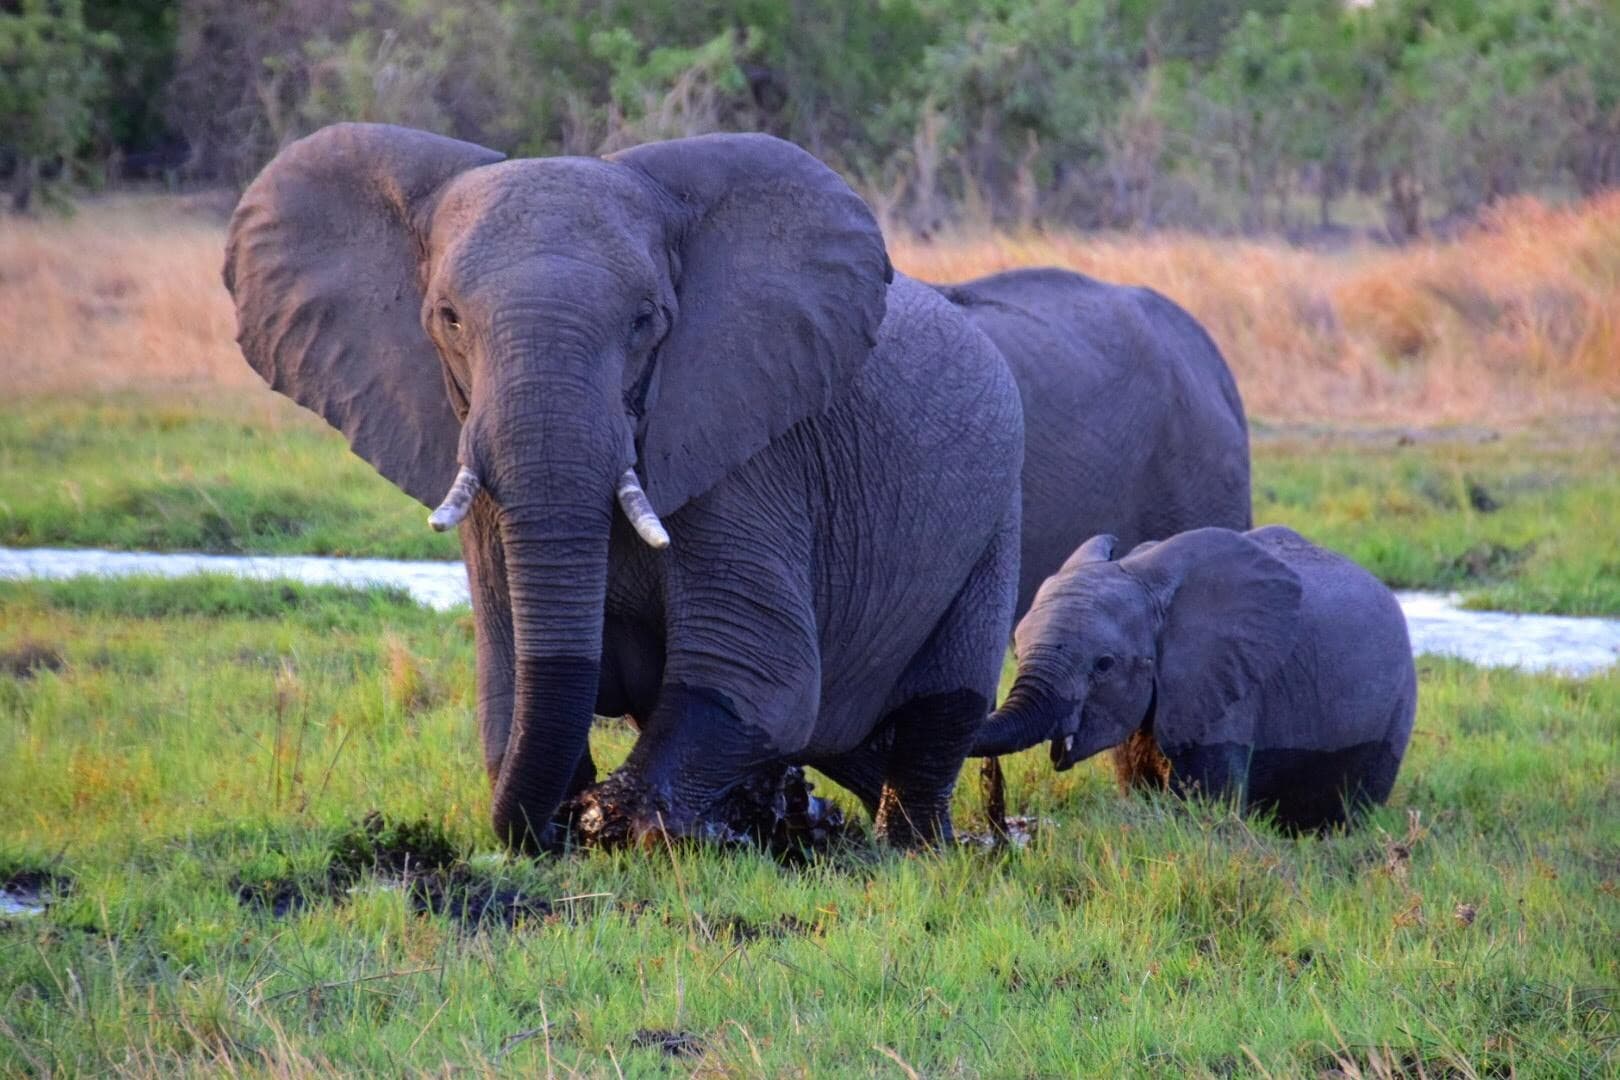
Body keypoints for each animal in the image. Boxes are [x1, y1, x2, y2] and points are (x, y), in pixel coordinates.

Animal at [223, 123, 1024, 852]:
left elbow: (761, 672)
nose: (549, 831)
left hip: (995, 519)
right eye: (447, 318)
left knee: (939, 710)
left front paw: (621, 825)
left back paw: (914, 847)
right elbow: (506, 669)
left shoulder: (749, 455)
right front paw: (579, 824)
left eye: (646, 320)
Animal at [973, 526, 1417, 830]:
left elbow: (1206, 803)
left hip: (1395, 705)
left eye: (1104, 664)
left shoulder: (1224, 683)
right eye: (1017, 648)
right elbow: (1135, 785)